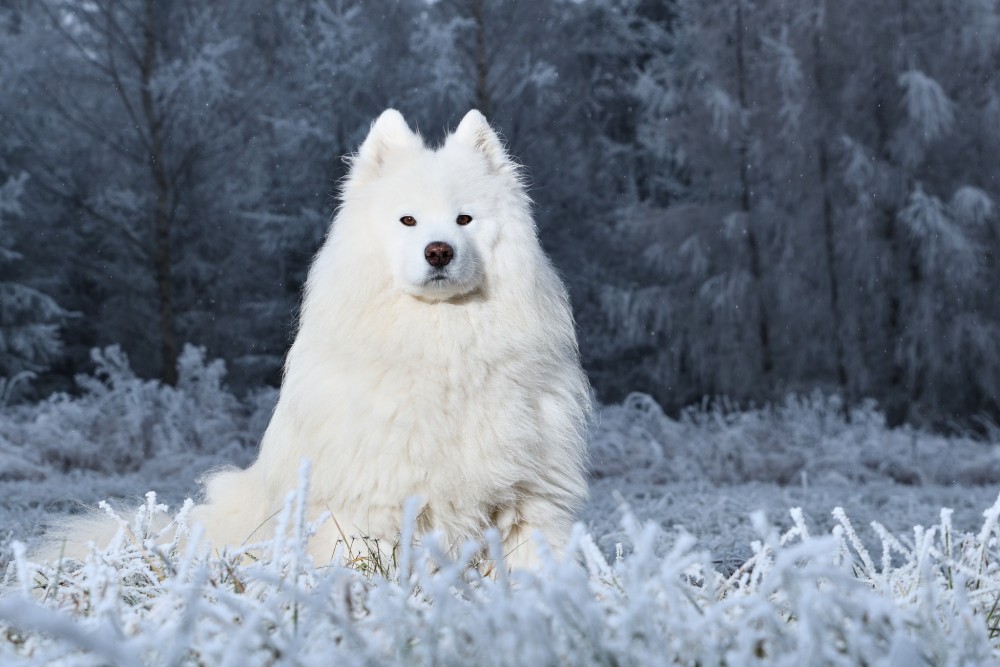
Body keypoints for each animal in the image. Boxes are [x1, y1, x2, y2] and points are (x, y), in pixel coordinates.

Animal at [43, 112, 592, 572]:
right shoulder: (376, 496)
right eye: (408, 220)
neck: (441, 344)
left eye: (465, 219)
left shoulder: (528, 498)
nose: (439, 251)